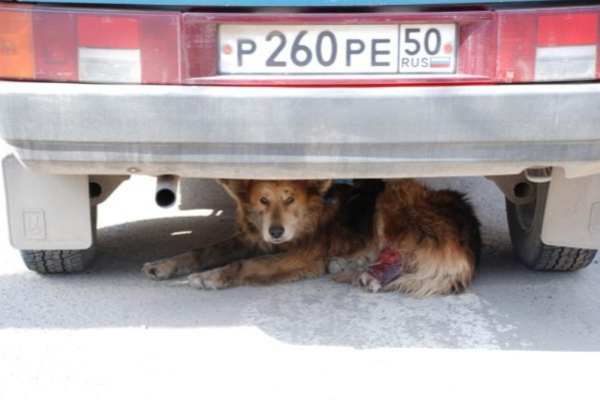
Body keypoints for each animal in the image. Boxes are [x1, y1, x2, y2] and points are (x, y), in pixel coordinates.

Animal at [144, 179, 482, 296]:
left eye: (290, 199)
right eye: (263, 200)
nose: (276, 232)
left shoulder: (302, 255)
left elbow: (248, 265)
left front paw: (212, 277)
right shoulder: (253, 239)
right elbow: (202, 250)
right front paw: (165, 264)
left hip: (393, 198)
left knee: (401, 252)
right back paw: (358, 268)